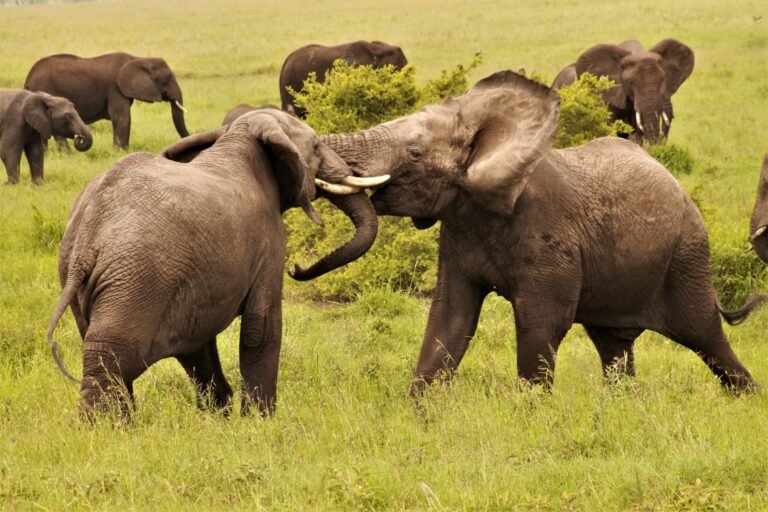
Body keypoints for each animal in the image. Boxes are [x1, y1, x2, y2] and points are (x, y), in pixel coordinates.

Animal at [25, 52, 189, 150]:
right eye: (168, 78)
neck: (138, 58)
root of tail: (28, 79)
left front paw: (119, 151)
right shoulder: (115, 88)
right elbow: (122, 117)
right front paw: (121, 152)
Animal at [47, 109, 387, 418]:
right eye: (316, 146)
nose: (298, 270)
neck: (238, 139)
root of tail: (88, 236)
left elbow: (199, 341)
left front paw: (219, 416)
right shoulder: (268, 239)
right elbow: (260, 327)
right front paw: (260, 423)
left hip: (89, 278)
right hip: (137, 280)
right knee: (113, 358)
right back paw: (108, 430)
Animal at [321, 70, 765, 396]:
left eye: (414, 153)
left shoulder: (548, 233)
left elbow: (542, 323)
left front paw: (530, 414)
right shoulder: (458, 232)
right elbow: (449, 317)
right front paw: (420, 411)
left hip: (686, 255)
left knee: (707, 336)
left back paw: (747, 398)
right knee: (614, 346)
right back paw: (623, 404)